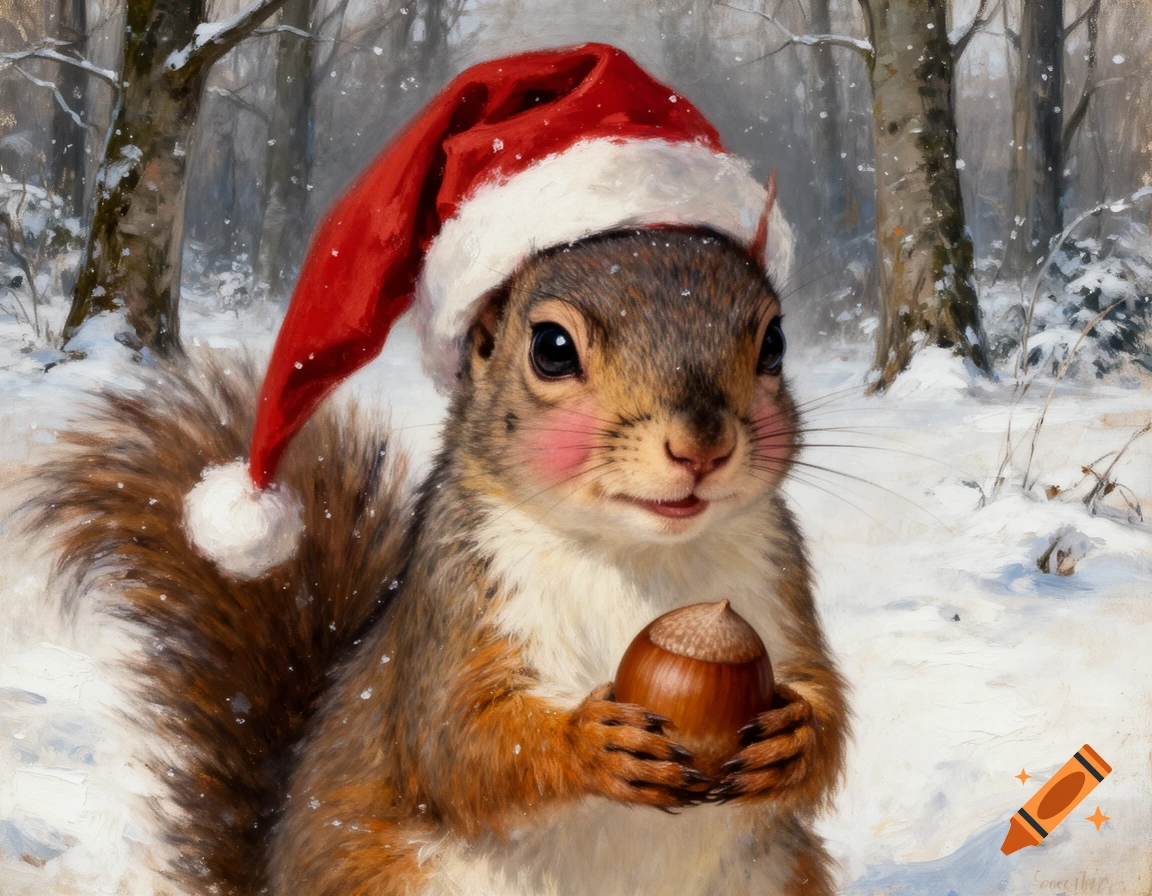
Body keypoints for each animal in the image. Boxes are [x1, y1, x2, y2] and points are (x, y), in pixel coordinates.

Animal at [32, 43, 849, 896]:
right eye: (551, 348)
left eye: (776, 343)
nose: (701, 447)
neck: (640, 555)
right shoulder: (454, 611)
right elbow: (460, 741)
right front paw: (588, 740)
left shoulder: (782, 589)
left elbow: (827, 709)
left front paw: (795, 733)